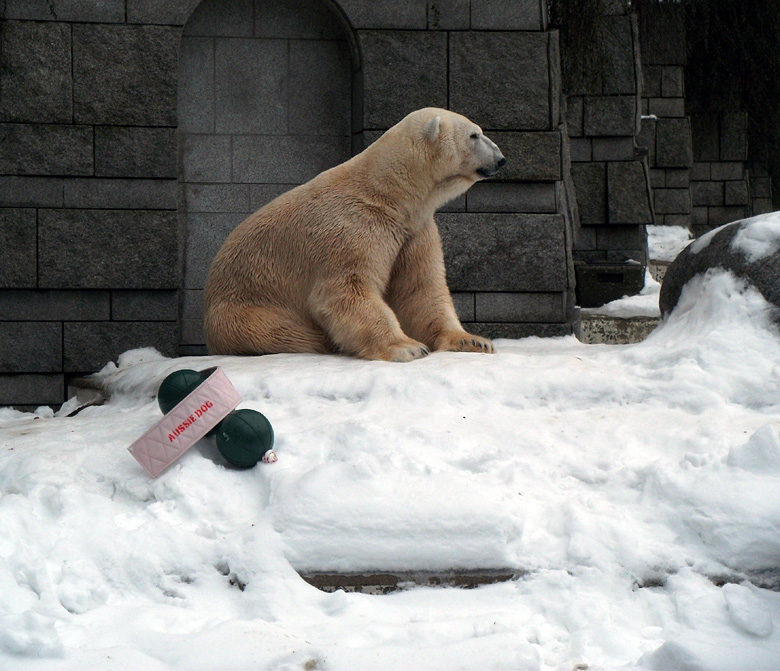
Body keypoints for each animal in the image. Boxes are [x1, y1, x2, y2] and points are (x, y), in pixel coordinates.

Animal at [201, 108, 506, 364]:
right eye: (474, 135)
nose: (501, 159)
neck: (389, 193)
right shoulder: (353, 229)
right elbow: (346, 290)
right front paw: (406, 347)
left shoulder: (414, 231)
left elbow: (420, 288)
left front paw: (473, 341)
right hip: (247, 309)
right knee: (287, 332)